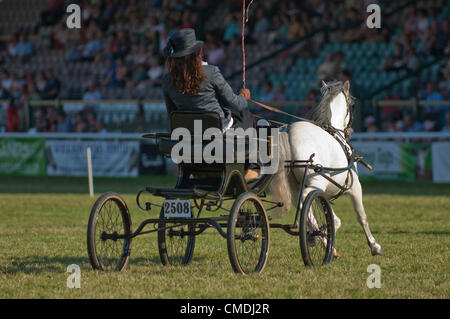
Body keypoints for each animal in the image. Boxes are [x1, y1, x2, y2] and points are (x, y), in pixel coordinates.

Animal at [268, 80, 384, 258]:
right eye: (353, 105)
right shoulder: (354, 186)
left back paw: (318, 236)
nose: (350, 131)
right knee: (305, 200)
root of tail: (288, 131)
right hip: (316, 181)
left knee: (302, 205)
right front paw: (374, 246)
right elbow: (361, 215)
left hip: (295, 187)